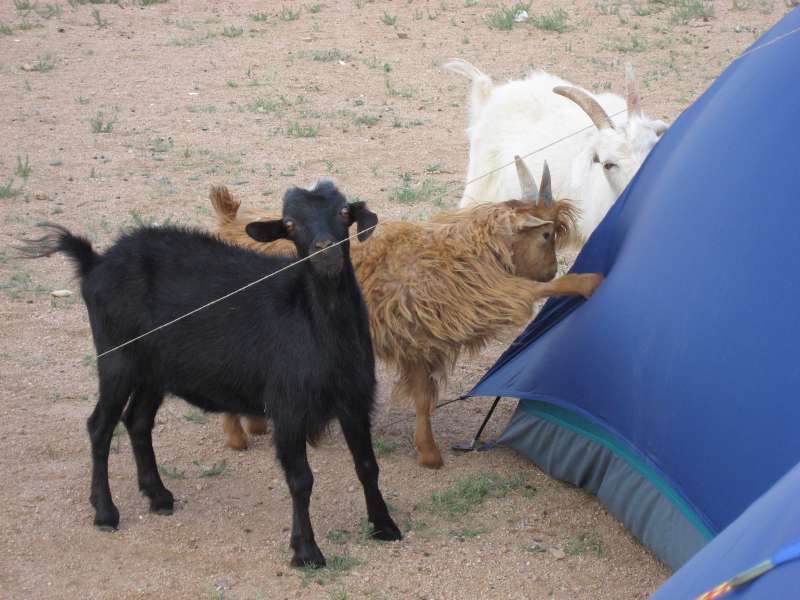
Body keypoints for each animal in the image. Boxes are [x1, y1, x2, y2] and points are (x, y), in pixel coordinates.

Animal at [20, 182, 400, 568]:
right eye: (290, 224)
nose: (325, 252)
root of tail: (94, 262)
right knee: (100, 426)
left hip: (153, 370)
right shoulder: (287, 407)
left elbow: (367, 465)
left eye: (343, 212)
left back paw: (158, 496)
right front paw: (306, 550)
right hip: (117, 359)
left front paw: (384, 526)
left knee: (137, 421)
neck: (317, 324)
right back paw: (105, 512)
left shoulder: (355, 398)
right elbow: (300, 480)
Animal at [211, 161, 600, 468]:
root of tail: (229, 224)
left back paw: (255, 424)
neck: (463, 254)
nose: (550, 270)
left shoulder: (423, 341)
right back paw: (237, 437)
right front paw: (587, 283)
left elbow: (425, 398)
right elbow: (426, 398)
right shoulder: (448, 319)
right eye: (546, 234)